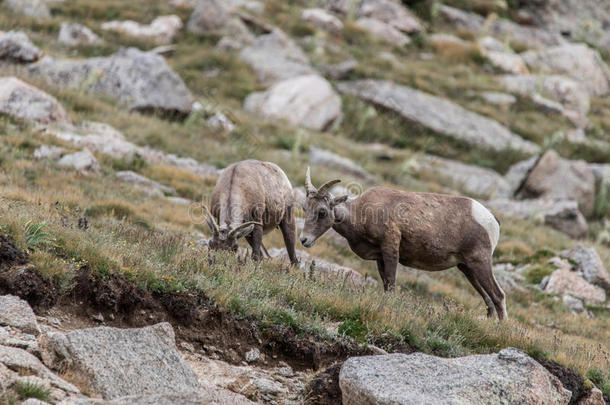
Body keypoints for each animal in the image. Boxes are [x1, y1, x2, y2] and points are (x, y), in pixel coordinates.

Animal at [298, 166, 504, 318]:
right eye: (305, 208)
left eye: (322, 211)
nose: (304, 240)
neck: (361, 214)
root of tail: (491, 219)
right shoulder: (380, 258)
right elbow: (386, 285)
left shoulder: (390, 249)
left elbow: (391, 284)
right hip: (466, 268)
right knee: (489, 301)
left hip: (480, 263)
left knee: (498, 296)